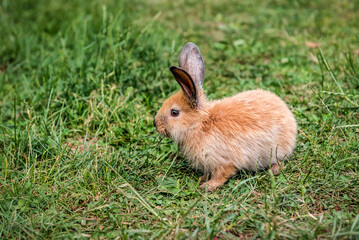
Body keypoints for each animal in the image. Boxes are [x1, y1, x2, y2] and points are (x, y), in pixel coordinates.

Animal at [155, 42, 298, 190]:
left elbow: (222, 175)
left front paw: (207, 186)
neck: (200, 124)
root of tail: (289, 117)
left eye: (174, 112)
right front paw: (202, 179)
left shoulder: (224, 161)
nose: (155, 124)